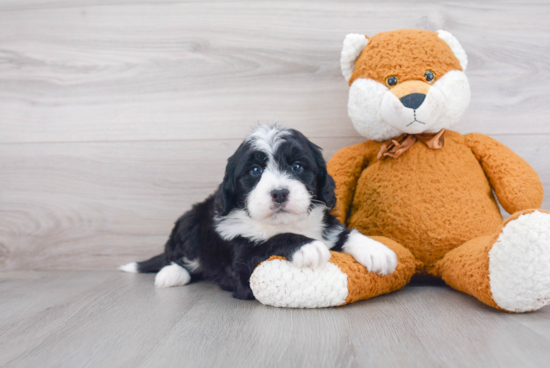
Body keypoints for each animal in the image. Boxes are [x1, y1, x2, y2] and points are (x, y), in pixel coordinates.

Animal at [119, 125, 396, 300]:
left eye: (297, 166)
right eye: (254, 171)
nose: (280, 193)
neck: (283, 223)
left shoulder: (325, 226)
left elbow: (345, 233)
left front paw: (377, 251)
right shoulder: (242, 264)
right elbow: (271, 241)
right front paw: (307, 246)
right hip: (189, 221)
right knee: (175, 254)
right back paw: (171, 273)